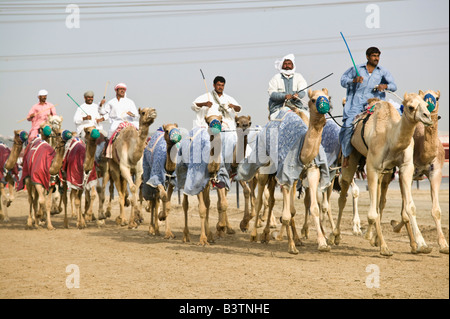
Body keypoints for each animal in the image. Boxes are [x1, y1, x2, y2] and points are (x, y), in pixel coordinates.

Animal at [328, 93, 434, 258]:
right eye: (410, 107)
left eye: (426, 105)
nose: (427, 117)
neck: (390, 136)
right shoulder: (372, 167)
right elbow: (372, 213)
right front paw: (376, 242)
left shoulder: (406, 167)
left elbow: (410, 207)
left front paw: (422, 245)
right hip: (350, 156)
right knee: (343, 196)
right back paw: (335, 236)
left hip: (383, 173)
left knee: (378, 200)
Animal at [388, 90, 448, 255]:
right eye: (424, 96)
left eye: (437, 97)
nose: (428, 114)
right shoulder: (407, 172)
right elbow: (407, 210)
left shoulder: (436, 172)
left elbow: (436, 210)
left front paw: (444, 245)